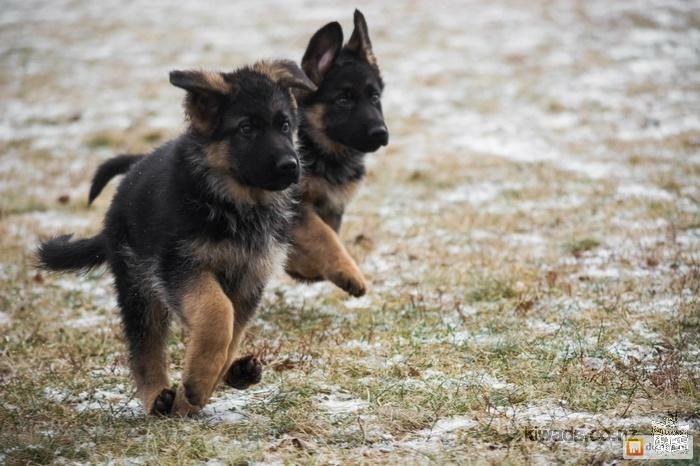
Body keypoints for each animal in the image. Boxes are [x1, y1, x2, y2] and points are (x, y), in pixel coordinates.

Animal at [35, 61, 314, 416]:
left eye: (285, 125)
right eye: (246, 129)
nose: (291, 166)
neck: (234, 201)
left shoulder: (250, 278)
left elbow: (232, 331)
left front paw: (204, 385)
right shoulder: (180, 266)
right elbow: (217, 314)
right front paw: (196, 383)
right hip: (138, 284)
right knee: (145, 345)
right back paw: (158, 398)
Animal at [86, 10, 388, 296]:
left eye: (375, 97)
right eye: (344, 99)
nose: (381, 133)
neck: (316, 145)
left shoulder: (331, 205)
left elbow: (327, 233)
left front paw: (308, 268)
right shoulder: (296, 208)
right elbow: (323, 236)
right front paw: (344, 272)